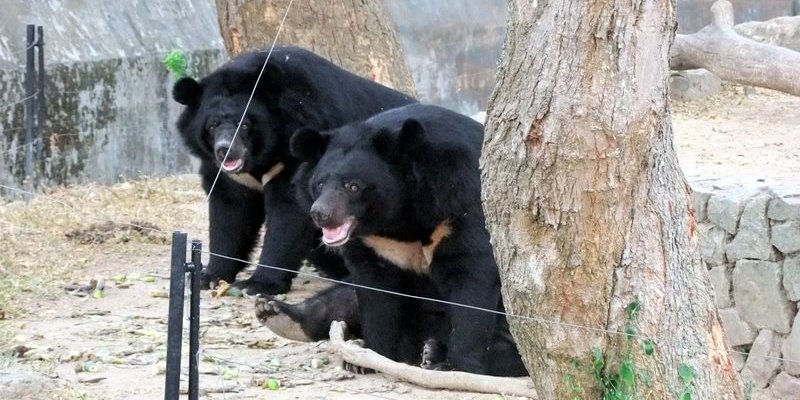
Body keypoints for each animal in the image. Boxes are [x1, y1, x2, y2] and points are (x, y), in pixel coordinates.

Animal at [171, 47, 416, 296]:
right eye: (211, 126)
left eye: (245, 125)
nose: (226, 151)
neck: (262, 157)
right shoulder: (231, 175)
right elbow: (230, 211)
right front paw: (209, 277)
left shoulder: (300, 145)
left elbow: (288, 212)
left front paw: (257, 284)